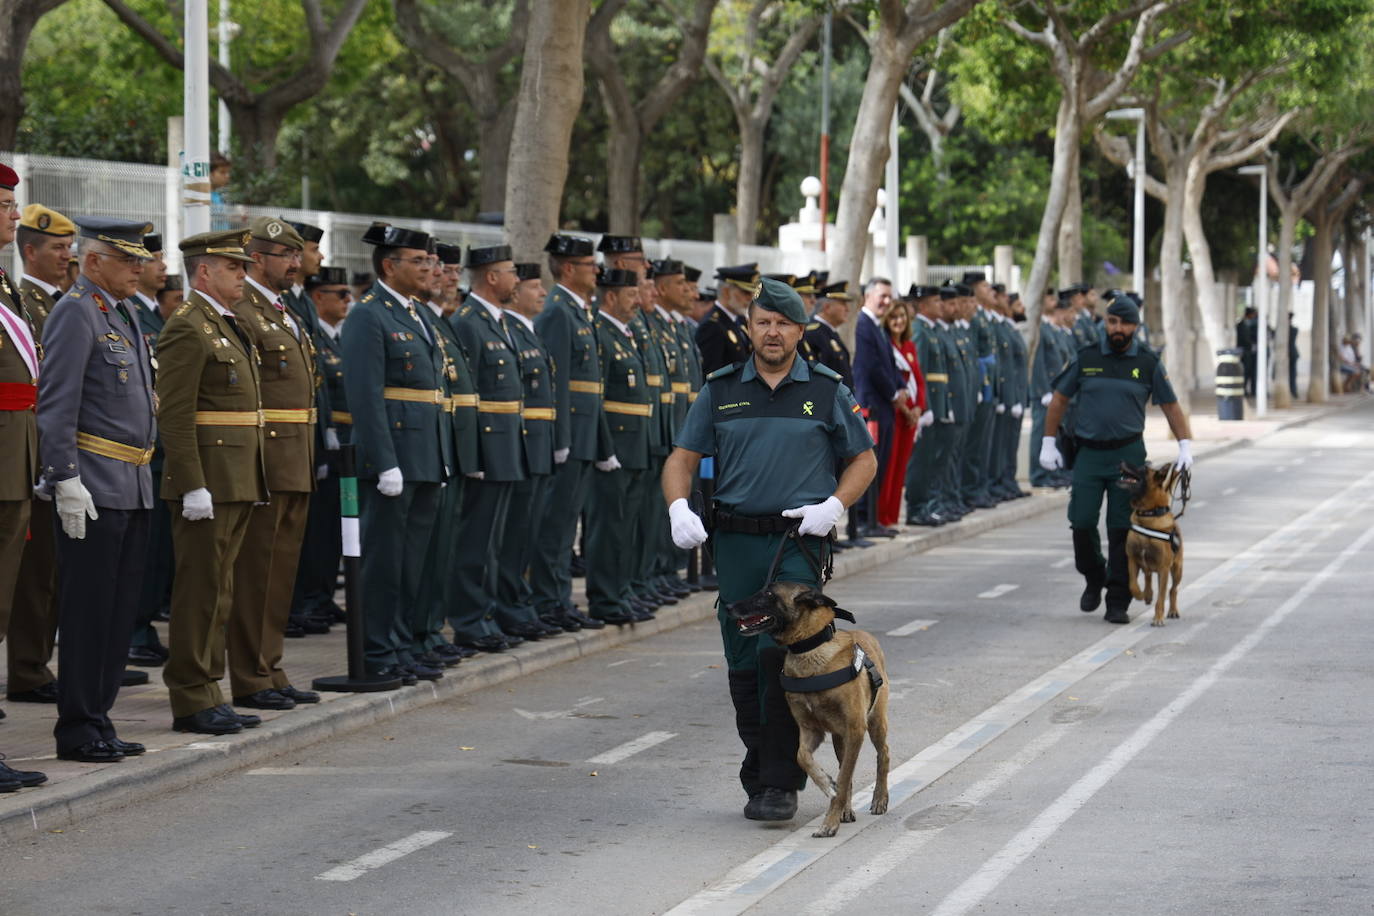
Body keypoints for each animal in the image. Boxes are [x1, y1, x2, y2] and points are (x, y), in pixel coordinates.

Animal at [730, 585, 890, 840]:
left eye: (769, 594)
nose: (728, 607)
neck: (810, 650)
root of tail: (867, 635)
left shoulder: (855, 729)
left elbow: (844, 779)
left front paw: (829, 822)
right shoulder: (810, 730)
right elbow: (802, 757)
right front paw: (826, 783)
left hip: (874, 723)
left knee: (883, 754)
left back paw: (880, 798)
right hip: (840, 739)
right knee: (846, 770)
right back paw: (846, 809)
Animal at [1115, 461, 1181, 626]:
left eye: (1143, 469)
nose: (1121, 461)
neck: (1147, 515)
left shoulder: (1164, 569)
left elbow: (1161, 598)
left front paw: (1158, 618)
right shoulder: (1132, 559)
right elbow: (1132, 584)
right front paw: (1140, 594)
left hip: (1177, 570)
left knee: (1173, 590)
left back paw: (1172, 610)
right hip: (1147, 565)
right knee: (1148, 576)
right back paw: (1148, 594)